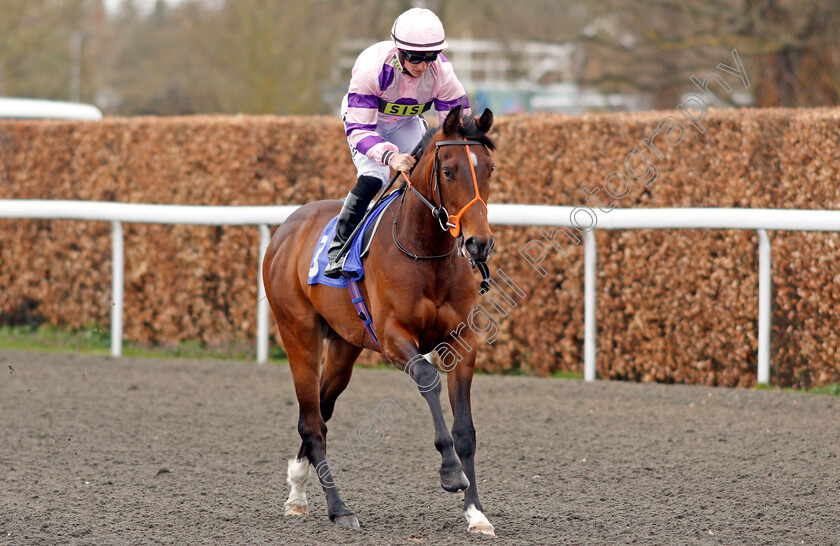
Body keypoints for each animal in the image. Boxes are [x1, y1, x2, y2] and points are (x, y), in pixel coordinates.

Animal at [262, 106, 496, 536]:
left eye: (489, 169)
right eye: (449, 170)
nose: (479, 243)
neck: (425, 252)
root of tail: (288, 227)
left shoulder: (461, 341)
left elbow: (466, 430)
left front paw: (476, 513)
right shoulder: (393, 338)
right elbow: (428, 379)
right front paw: (451, 472)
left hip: (344, 347)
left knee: (319, 410)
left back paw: (298, 491)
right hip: (298, 334)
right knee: (312, 423)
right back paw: (338, 508)